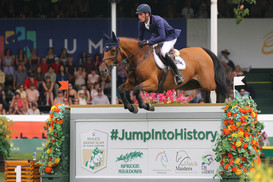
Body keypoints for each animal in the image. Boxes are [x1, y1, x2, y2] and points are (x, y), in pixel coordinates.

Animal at [99, 32, 227, 113]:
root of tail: (203, 50)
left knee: (219, 87)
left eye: (112, 50)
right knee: (208, 94)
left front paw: (146, 105)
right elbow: (121, 89)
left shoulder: (152, 83)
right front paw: (130, 107)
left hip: (207, 82)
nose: (102, 70)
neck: (139, 59)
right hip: (194, 84)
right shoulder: (131, 83)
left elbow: (136, 89)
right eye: (104, 50)